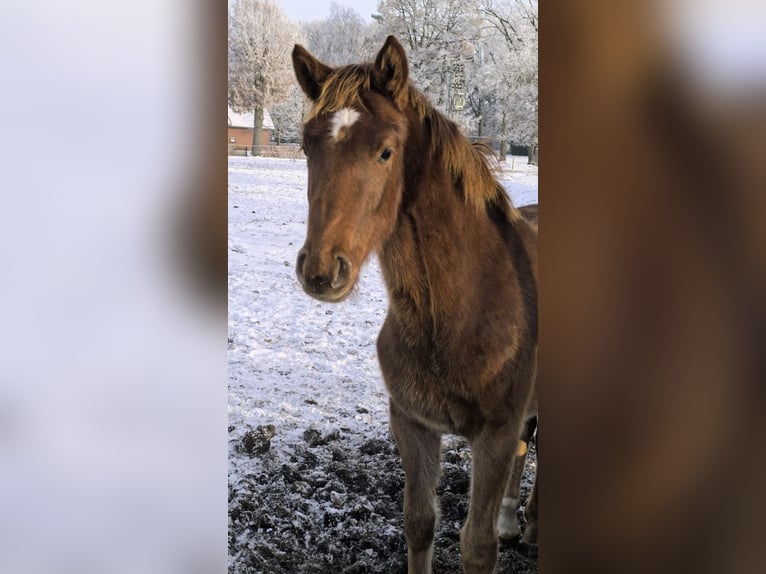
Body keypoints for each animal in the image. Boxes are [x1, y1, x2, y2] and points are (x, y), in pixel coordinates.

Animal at [291, 36, 538, 574]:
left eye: (386, 151)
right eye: (304, 145)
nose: (320, 270)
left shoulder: (495, 433)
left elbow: (476, 545)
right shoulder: (412, 423)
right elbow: (419, 522)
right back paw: (514, 519)